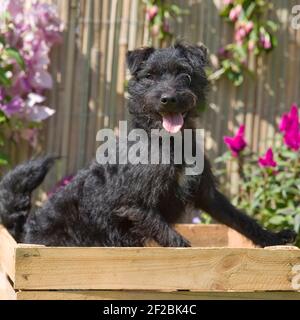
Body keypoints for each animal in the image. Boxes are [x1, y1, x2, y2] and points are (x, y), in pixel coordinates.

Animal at [0, 42, 296, 248]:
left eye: (184, 74)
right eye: (150, 76)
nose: (168, 98)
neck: (169, 143)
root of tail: (25, 231)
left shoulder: (208, 194)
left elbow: (239, 218)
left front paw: (274, 238)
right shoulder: (133, 204)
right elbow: (165, 232)